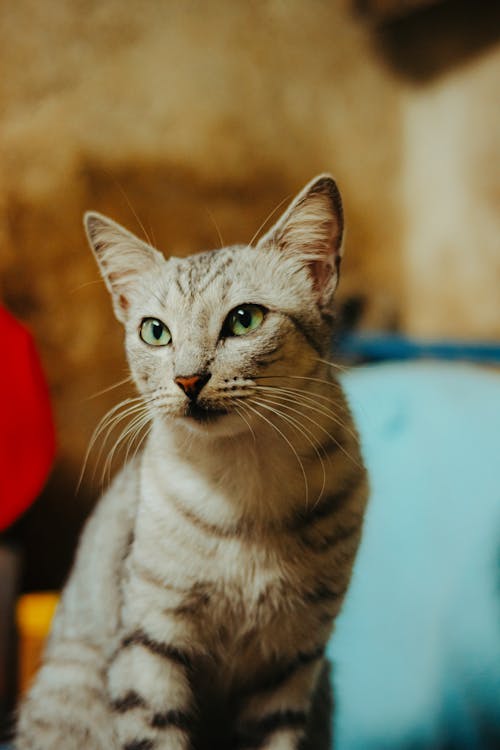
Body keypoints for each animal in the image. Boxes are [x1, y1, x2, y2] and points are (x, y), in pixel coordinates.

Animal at [14, 175, 368, 750]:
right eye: (155, 331)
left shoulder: (292, 661)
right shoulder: (150, 641)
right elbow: (153, 732)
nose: (187, 379)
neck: (246, 487)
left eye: (245, 319)